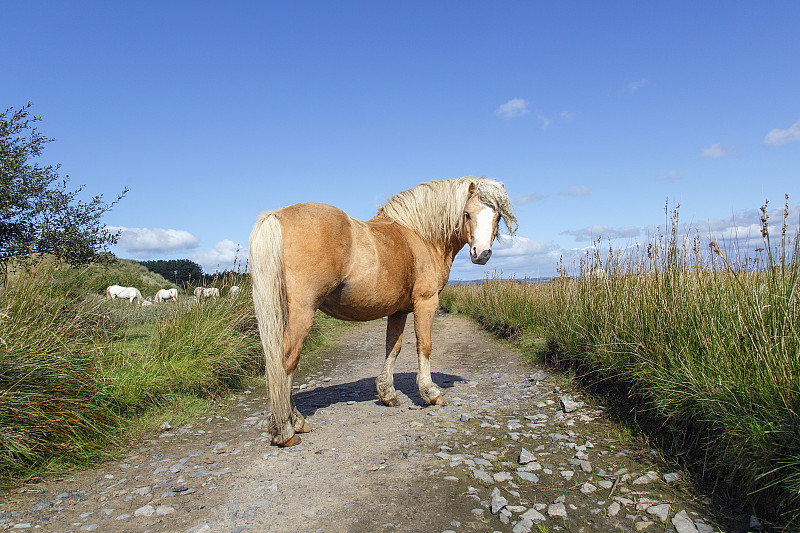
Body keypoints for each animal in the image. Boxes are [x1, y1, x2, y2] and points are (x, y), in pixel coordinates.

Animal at [250, 176, 520, 444]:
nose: (481, 254)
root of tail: (276, 216)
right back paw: (287, 429)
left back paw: (294, 423)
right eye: (467, 214)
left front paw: (387, 393)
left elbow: (394, 347)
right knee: (286, 362)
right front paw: (430, 392)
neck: (419, 235)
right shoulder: (426, 302)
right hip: (302, 312)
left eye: (497, 216)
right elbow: (424, 345)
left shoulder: (398, 310)